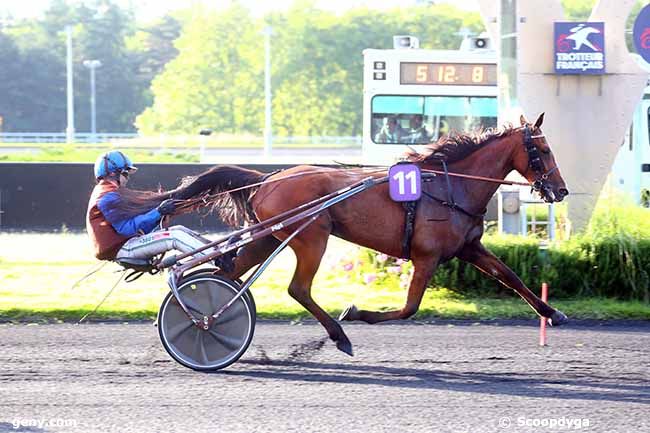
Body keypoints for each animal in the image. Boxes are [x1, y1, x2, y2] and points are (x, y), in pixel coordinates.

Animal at [171, 114, 568, 354]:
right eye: (544, 150)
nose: (561, 190)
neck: (451, 186)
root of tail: (268, 177)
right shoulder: (426, 256)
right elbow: (409, 307)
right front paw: (357, 312)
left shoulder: (469, 248)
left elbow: (511, 277)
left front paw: (553, 313)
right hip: (311, 237)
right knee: (297, 289)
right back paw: (339, 334)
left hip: (271, 235)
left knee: (227, 275)